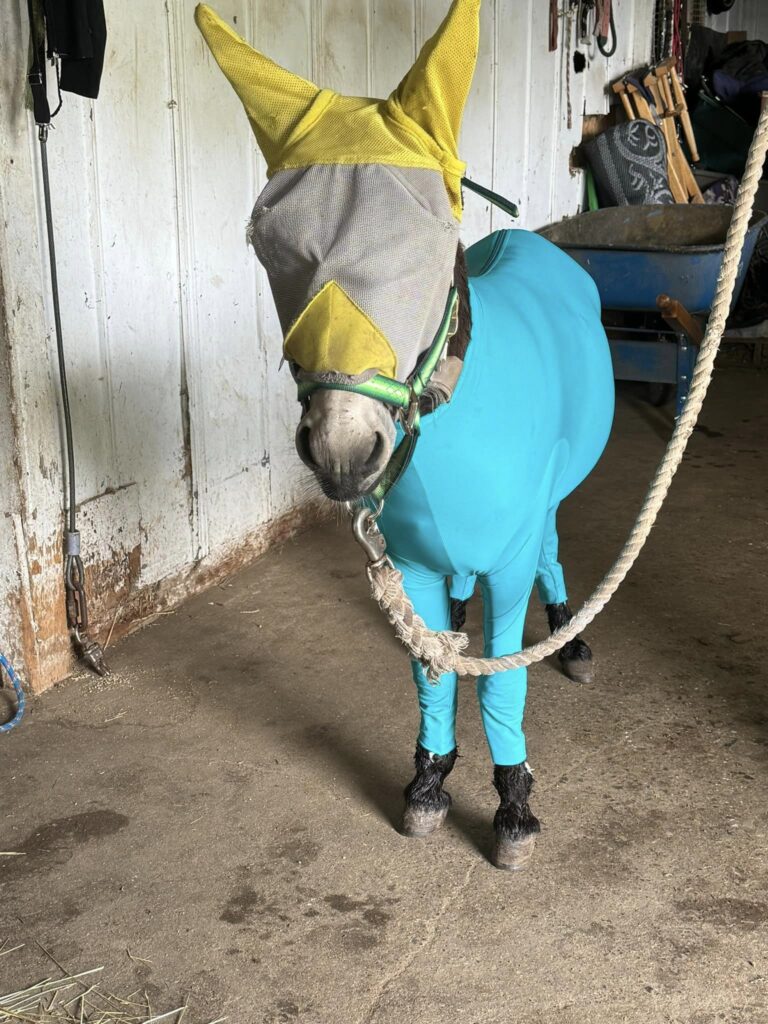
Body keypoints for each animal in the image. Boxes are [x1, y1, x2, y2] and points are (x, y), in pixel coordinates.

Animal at [196, 0, 615, 870]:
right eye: (269, 245)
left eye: (431, 240)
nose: (343, 453)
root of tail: (534, 242)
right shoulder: (413, 561)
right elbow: (432, 673)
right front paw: (429, 780)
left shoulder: (509, 559)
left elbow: (501, 681)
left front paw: (514, 806)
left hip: (548, 507)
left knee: (553, 545)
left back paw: (570, 636)